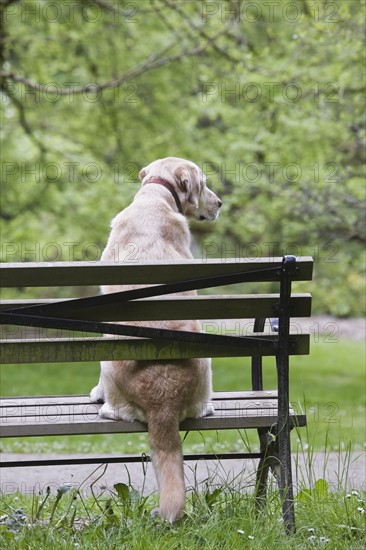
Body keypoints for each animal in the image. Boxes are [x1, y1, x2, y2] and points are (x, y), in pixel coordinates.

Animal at [90, 157, 222, 524]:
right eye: (205, 184)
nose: (220, 203)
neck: (156, 198)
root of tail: (163, 403)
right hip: (207, 358)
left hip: (108, 354)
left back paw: (105, 406)